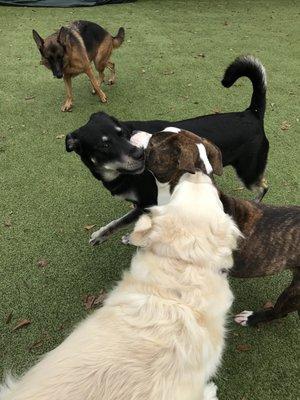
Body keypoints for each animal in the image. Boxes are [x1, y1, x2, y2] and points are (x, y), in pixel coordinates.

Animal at [66, 55, 270, 245]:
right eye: (104, 145)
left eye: (121, 134)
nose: (140, 155)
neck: (119, 174)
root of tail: (251, 113)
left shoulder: (149, 202)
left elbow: (123, 222)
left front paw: (109, 236)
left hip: (248, 173)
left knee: (264, 186)